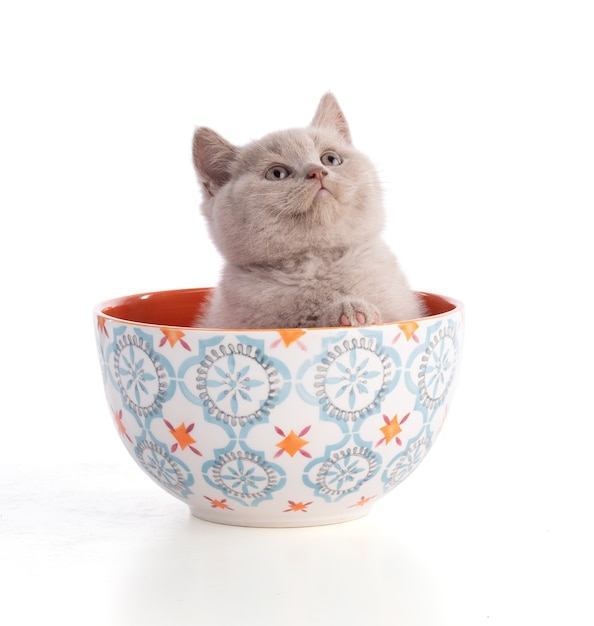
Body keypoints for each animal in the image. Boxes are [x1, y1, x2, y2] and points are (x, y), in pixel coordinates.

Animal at [192, 95, 424, 330]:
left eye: (330, 159)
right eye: (277, 173)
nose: (317, 171)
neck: (315, 263)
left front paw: (356, 311)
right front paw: (346, 311)